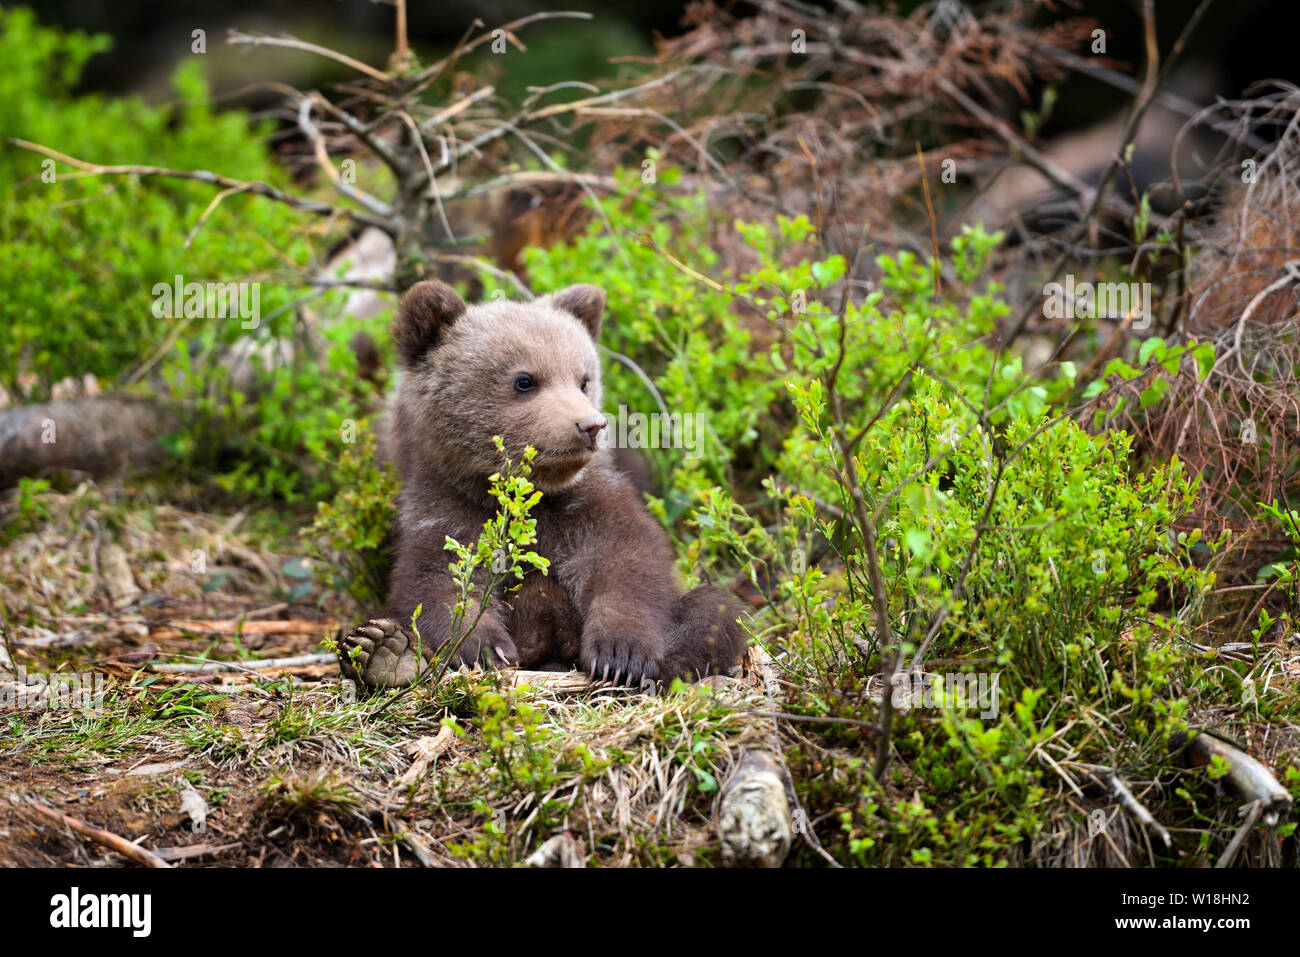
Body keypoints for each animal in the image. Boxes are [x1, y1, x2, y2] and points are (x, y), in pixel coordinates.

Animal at [336, 279, 747, 689]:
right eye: (524, 380)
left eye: (583, 379)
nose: (590, 425)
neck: (524, 496)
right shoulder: (441, 507)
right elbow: (438, 580)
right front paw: (483, 648)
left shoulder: (590, 502)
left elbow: (628, 560)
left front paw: (621, 652)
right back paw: (385, 650)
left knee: (716, 612)